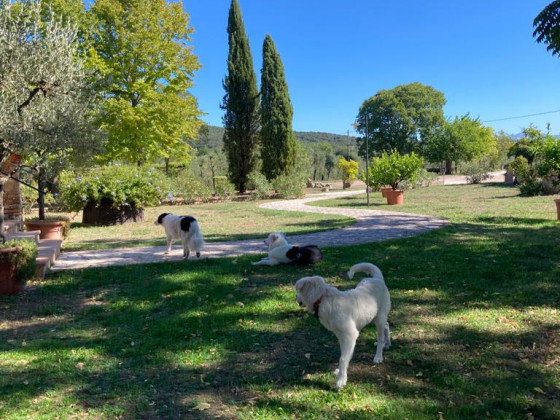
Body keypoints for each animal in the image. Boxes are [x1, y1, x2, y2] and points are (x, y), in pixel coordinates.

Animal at [296, 262, 392, 390]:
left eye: (299, 291)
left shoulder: (350, 335)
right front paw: (340, 372)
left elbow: (343, 358)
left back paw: (378, 355)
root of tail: (377, 278)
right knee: (387, 326)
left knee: (381, 336)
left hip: (379, 318)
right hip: (375, 317)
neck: (323, 300)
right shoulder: (341, 337)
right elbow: (344, 356)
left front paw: (340, 381)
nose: (295, 297)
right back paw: (387, 344)